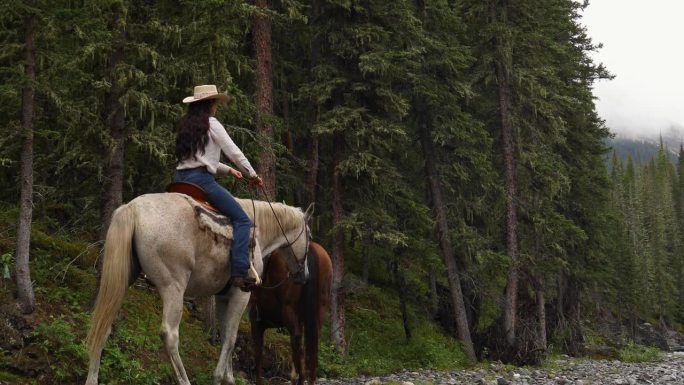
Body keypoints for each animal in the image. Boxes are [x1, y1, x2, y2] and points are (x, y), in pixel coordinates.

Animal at [84, 194, 312, 384]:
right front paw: (219, 377)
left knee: (103, 325)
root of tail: (132, 209)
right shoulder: (241, 294)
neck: (258, 231)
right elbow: (231, 337)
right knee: (170, 335)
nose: (305, 275)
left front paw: (229, 378)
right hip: (173, 288)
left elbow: (225, 335)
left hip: (123, 280)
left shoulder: (223, 296)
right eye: (309, 235)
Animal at [251, 242, 334, 382]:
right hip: (319, 314)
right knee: (311, 351)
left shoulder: (256, 324)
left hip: (288, 312)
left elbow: (258, 357)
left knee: (296, 339)